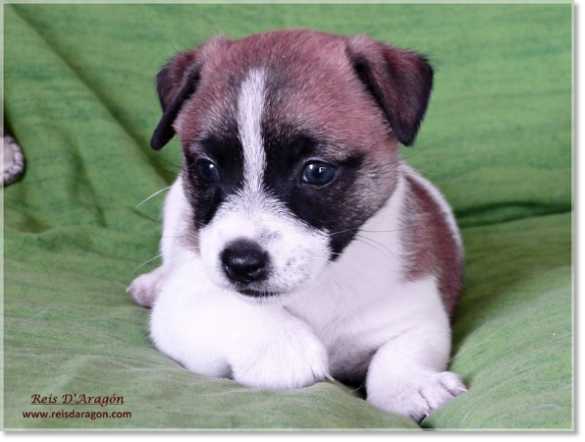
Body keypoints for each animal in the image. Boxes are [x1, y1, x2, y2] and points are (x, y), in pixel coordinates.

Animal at [128, 29, 466, 424]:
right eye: (207, 168)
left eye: (316, 171)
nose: (240, 263)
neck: (321, 283)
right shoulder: (183, 307)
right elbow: (233, 308)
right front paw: (283, 349)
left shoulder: (417, 314)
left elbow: (399, 351)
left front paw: (409, 385)